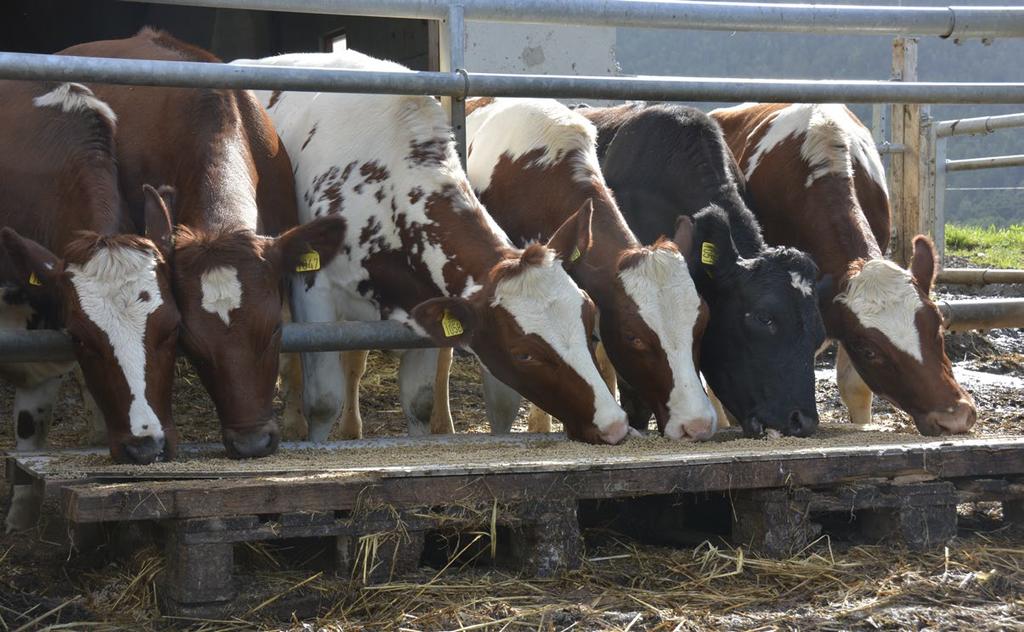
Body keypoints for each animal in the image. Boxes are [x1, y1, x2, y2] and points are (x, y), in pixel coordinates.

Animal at [245, 49, 630, 444]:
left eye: (588, 319)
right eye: (523, 354)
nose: (614, 426)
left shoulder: (424, 303)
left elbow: (419, 401)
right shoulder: (314, 293)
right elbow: (323, 401)